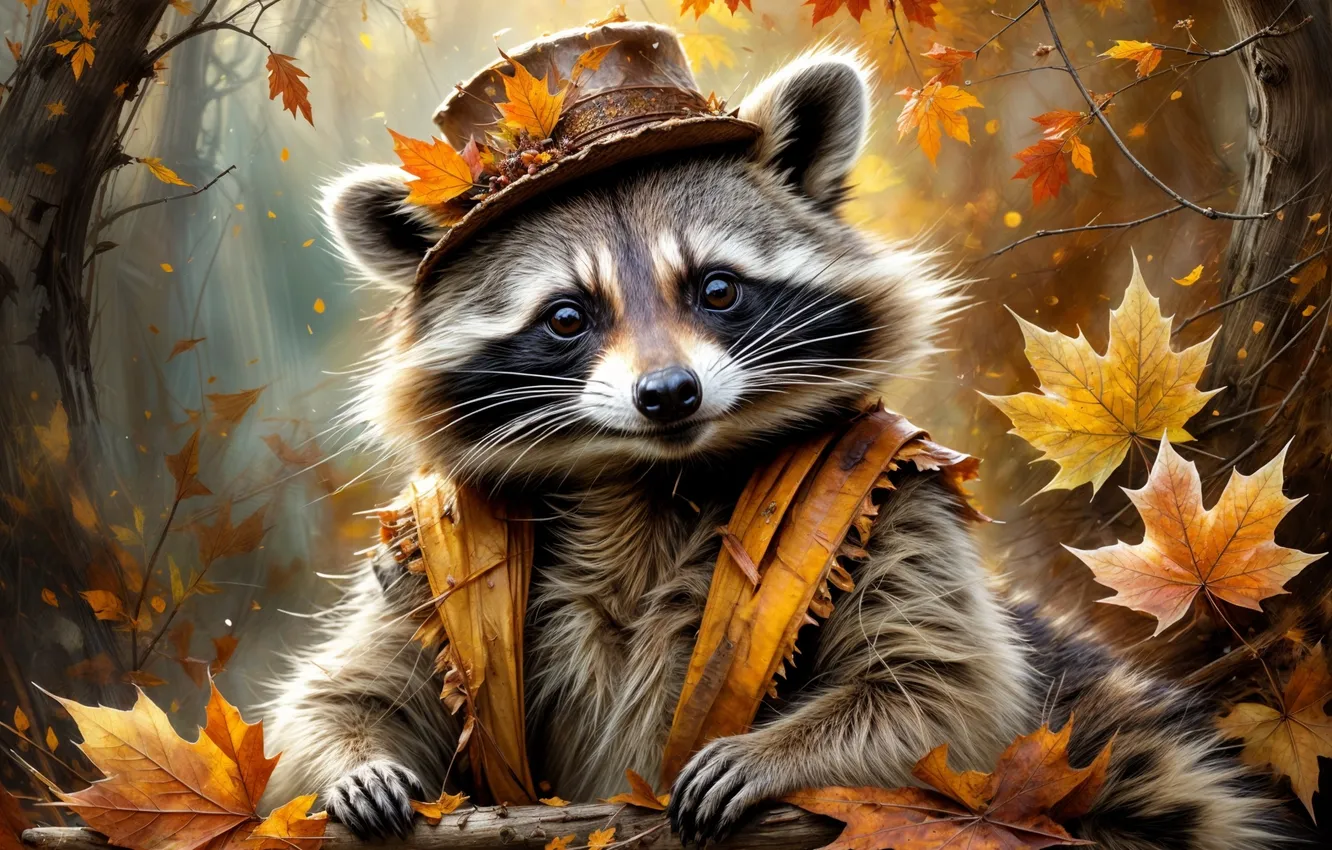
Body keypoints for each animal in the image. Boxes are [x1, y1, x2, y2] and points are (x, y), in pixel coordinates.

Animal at [261, 48, 1286, 849]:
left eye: (716, 289)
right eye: (566, 317)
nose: (668, 394)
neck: (653, 473)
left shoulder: (899, 497)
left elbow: (939, 690)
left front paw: (778, 751)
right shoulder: (420, 556)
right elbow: (350, 693)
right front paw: (357, 761)